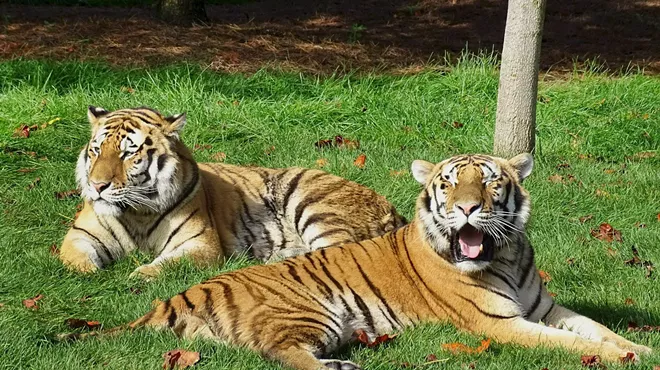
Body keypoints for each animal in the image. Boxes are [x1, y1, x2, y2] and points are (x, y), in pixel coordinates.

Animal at [58, 154, 648, 370]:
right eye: (449, 184)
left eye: (489, 182)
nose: (466, 208)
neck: (506, 253)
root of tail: (182, 292)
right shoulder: (500, 324)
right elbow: (568, 345)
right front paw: (627, 358)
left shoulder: (546, 308)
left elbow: (594, 328)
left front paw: (638, 346)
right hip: (313, 310)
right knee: (281, 354)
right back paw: (340, 368)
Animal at [59, 106, 404, 278]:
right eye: (96, 150)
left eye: (128, 154)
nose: (97, 186)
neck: (137, 212)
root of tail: (392, 209)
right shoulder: (80, 235)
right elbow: (74, 257)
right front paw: (90, 272)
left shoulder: (200, 245)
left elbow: (169, 263)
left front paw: (140, 274)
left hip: (313, 204)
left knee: (335, 254)